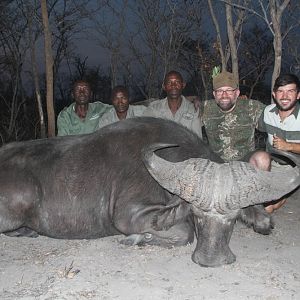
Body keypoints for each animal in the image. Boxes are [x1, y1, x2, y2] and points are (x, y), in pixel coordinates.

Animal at [0, 117, 298, 268]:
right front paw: (136, 239)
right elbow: (184, 233)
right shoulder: (129, 216)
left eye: (233, 219)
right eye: (198, 216)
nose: (211, 260)